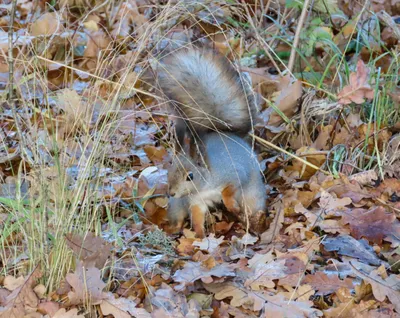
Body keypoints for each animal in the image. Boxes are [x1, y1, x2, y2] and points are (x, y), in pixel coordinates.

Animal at [156, 46, 266, 236]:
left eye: (190, 176)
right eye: (170, 169)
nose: (171, 193)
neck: (204, 187)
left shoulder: (232, 173)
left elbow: (229, 190)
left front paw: (230, 204)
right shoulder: (195, 201)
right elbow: (197, 217)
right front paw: (200, 235)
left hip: (252, 193)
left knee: (253, 204)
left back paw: (253, 220)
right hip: (176, 207)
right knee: (177, 216)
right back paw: (173, 228)